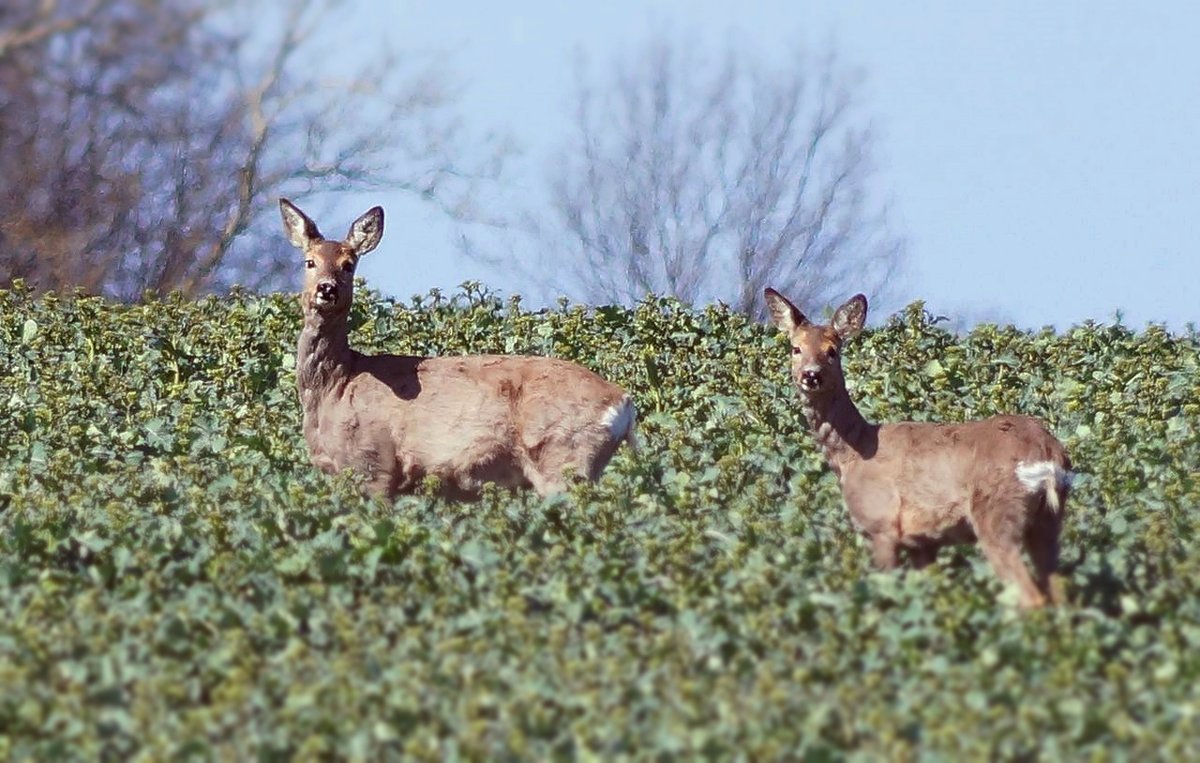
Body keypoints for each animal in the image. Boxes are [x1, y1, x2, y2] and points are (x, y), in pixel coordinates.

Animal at [278, 197, 638, 501]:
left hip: (563, 455)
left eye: (349, 264)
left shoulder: (373, 464)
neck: (336, 387)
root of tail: (624, 402)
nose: (327, 289)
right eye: (309, 261)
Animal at [768, 285, 1080, 607]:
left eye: (832, 351)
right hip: (1048, 521)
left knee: (1032, 596)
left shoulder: (882, 524)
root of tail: (1048, 452)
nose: (811, 375)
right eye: (795, 348)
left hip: (997, 512)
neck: (854, 453)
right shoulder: (922, 542)